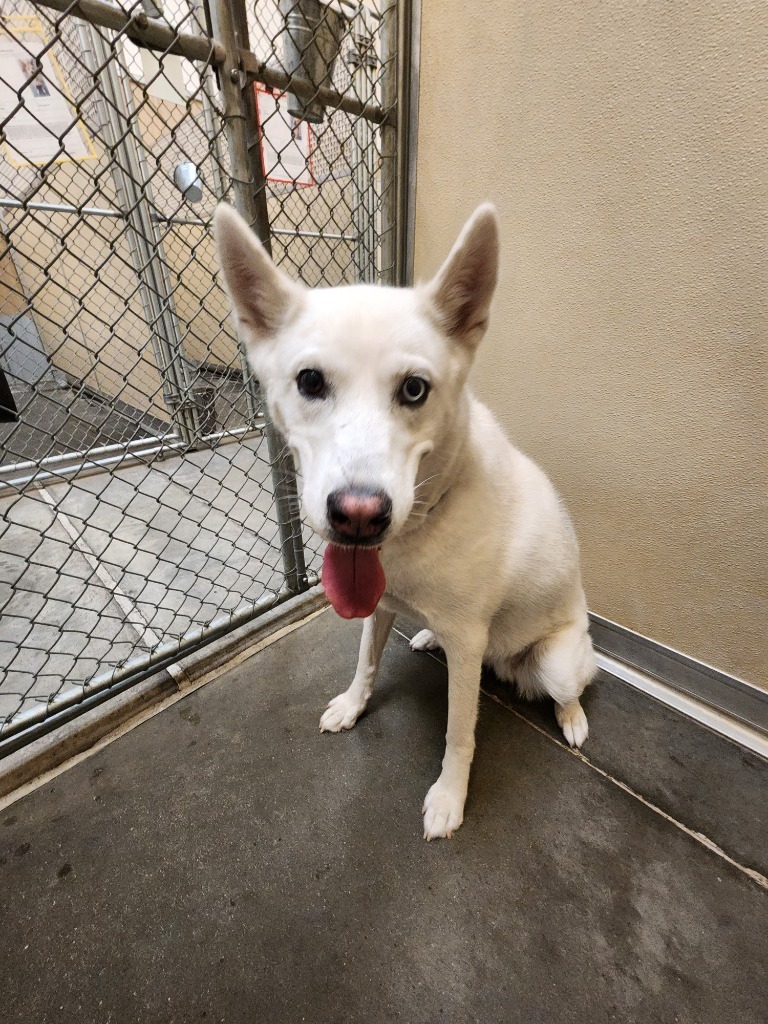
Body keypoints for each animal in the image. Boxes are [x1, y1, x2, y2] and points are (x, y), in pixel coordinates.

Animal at [214, 201, 598, 839]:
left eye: (415, 389)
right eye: (310, 381)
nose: (358, 516)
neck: (422, 522)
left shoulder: (466, 646)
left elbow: (459, 732)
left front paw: (449, 798)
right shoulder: (379, 608)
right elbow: (365, 662)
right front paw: (352, 705)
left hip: (557, 659)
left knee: (572, 688)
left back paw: (572, 720)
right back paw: (424, 635)